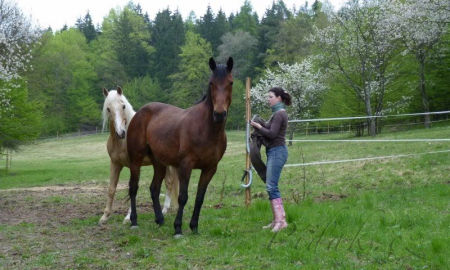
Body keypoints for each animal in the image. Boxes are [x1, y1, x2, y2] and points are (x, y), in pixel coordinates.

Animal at [99, 87, 178, 225]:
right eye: (108, 109)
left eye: (123, 106)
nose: (121, 133)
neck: (122, 142)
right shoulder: (115, 164)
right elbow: (111, 189)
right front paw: (105, 216)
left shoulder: (134, 165)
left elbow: (133, 188)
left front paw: (128, 217)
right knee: (169, 182)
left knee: (169, 182)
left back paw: (164, 210)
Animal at [125, 57, 234, 236]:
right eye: (211, 83)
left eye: (230, 82)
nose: (219, 114)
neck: (207, 129)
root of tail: (140, 112)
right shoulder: (185, 166)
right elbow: (183, 197)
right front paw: (178, 228)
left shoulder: (210, 168)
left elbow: (199, 198)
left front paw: (194, 227)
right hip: (136, 159)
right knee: (133, 188)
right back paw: (134, 221)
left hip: (159, 163)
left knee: (154, 188)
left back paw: (160, 219)